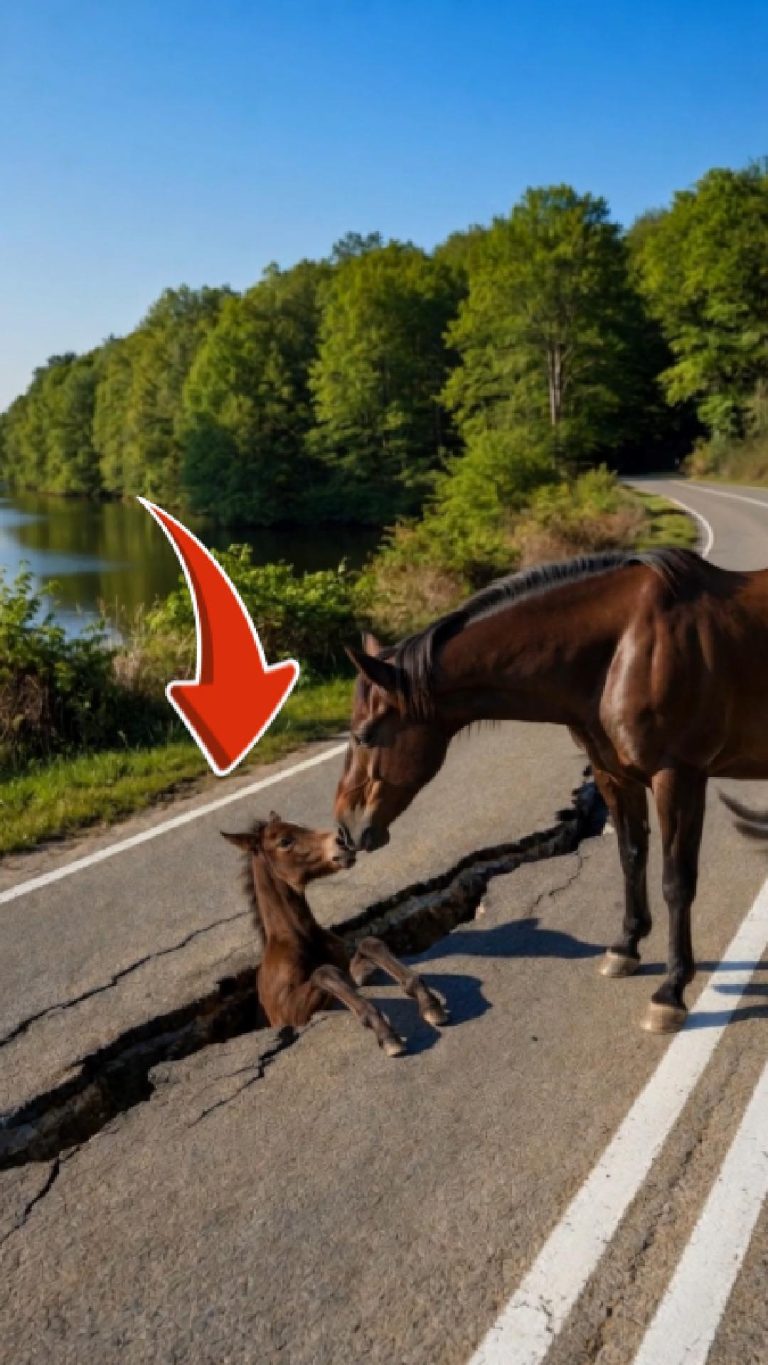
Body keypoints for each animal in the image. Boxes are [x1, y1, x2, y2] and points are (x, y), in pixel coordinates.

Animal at [221, 811, 449, 1056]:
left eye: (302, 825)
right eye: (284, 841)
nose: (343, 842)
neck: (302, 939)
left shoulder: (350, 971)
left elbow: (369, 944)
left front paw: (429, 1003)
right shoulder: (288, 1014)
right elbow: (324, 972)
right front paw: (386, 1033)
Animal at [334, 547, 768, 1034]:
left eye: (365, 735)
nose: (346, 828)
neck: (627, 646)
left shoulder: (677, 778)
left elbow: (676, 882)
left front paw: (670, 991)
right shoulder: (613, 776)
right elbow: (631, 857)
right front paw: (626, 947)